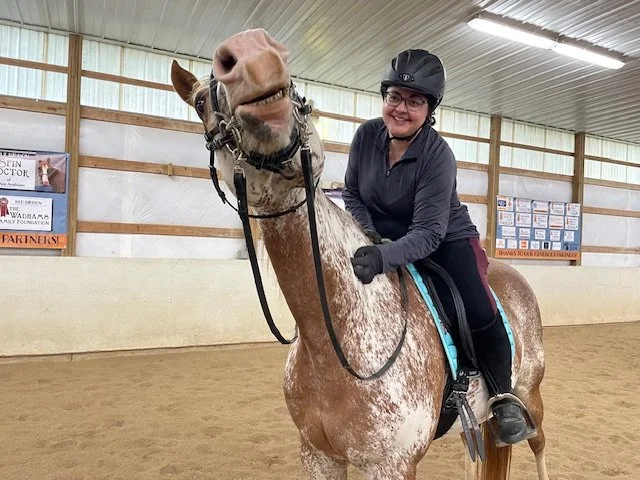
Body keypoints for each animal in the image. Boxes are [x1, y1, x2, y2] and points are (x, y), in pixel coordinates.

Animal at [171, 28, 549, 480]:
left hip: (529, 398)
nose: (255, 61)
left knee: (538, 443)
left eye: (290, 77)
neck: (332, 344)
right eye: (199, 102)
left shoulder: (390, 465)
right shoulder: (318, 456)